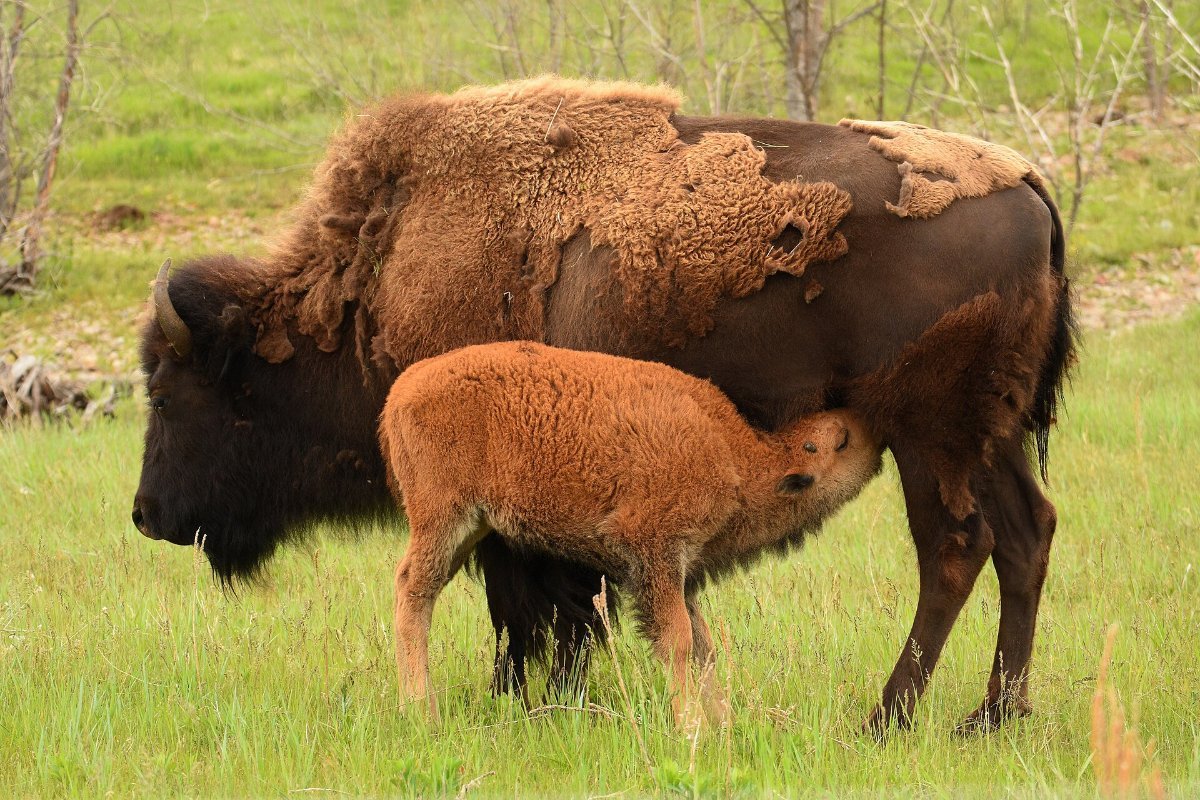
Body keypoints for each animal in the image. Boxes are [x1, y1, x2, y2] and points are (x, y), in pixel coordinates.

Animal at [131, 79, 1073, 734]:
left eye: (171, 393)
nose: (146, 515)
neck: (368, 282)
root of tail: (1029, 183)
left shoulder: (503, 507)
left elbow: (532, 608)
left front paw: (526, 699)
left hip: (933, 435)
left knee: (954, 547)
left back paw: (889, 717)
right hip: (990, 437)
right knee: (1025, 535)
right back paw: (992, 716)